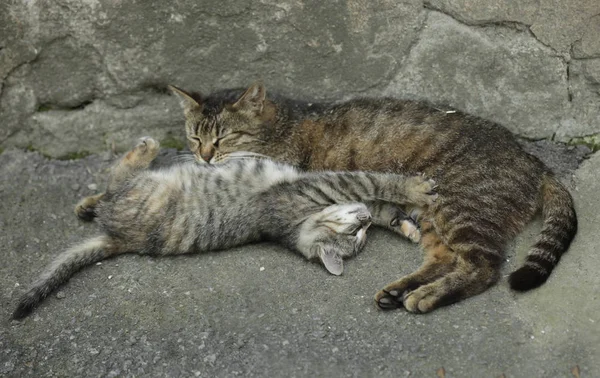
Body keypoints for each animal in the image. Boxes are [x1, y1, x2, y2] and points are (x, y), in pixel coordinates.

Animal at [12, 137, 436, 318]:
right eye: (353, 235)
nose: (362, 223)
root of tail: (119, 238)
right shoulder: (329, 184)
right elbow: (375, 183)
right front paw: (413, 193)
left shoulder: (335, 190)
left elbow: (377, 197)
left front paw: (405, 220)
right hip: (138, 190)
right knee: (114, 178)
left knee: (111, 186)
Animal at [168, 82, 576, 314]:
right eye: (194, 136)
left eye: (223, 138)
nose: (204, 156)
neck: (280, 126)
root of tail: (532, 160)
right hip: (437, 217)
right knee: (446, 259)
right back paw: (400, 291)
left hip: (460, 208)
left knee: (484, 267)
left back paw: (426, 296)